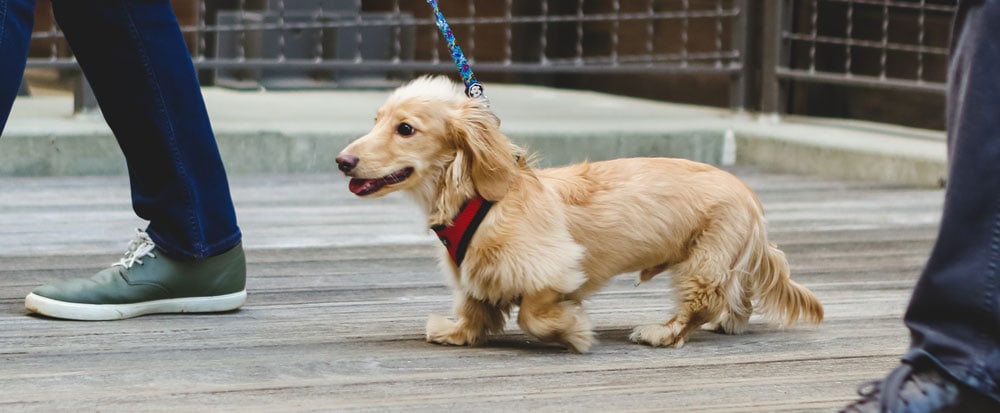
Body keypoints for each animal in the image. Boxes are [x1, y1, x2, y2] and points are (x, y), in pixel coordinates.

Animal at [336, 75, 820, 350]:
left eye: (405, 129)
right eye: (376, 121)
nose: (342, 161)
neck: (479, 200)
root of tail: (751, 199)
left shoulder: (553, 268)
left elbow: (532, 314)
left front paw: (573, 331)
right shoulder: (477, 273)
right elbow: (475, 307)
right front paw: (458, 332)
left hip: (703, 263)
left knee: (698, 308)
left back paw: (661, 333)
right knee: (737, 298)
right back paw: (727, 323)